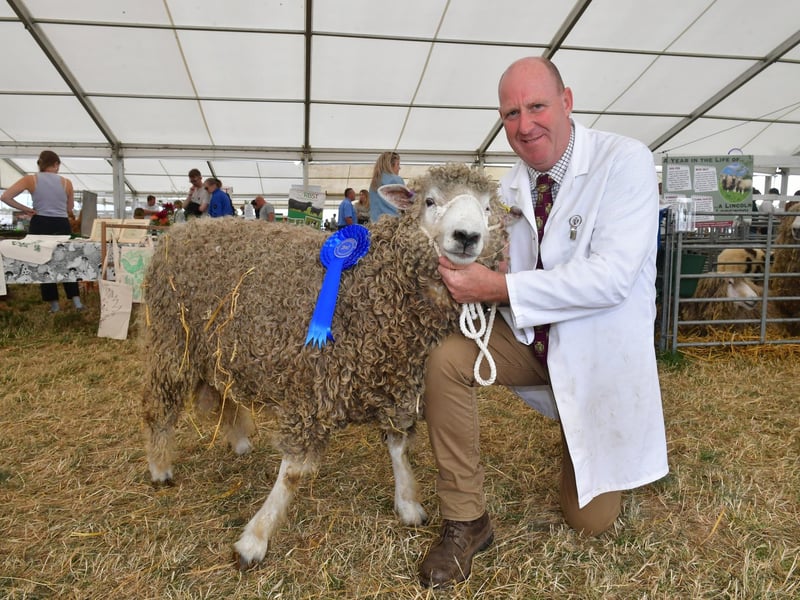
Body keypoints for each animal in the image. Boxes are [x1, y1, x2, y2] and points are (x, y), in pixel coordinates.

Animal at [141, 163, 512, 570]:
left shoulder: (396, 379)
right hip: (173, 339)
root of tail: (182, 230)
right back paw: (159, 467)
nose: (467, 237)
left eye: (488, 208)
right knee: (160, 404)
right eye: (430, 201)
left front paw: (408, 503)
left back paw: (237, 440)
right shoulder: (315, 386)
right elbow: (292, 474)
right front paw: (255, 538)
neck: (375, 285)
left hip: (216, 346)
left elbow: (399, 448)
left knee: (220, 391)